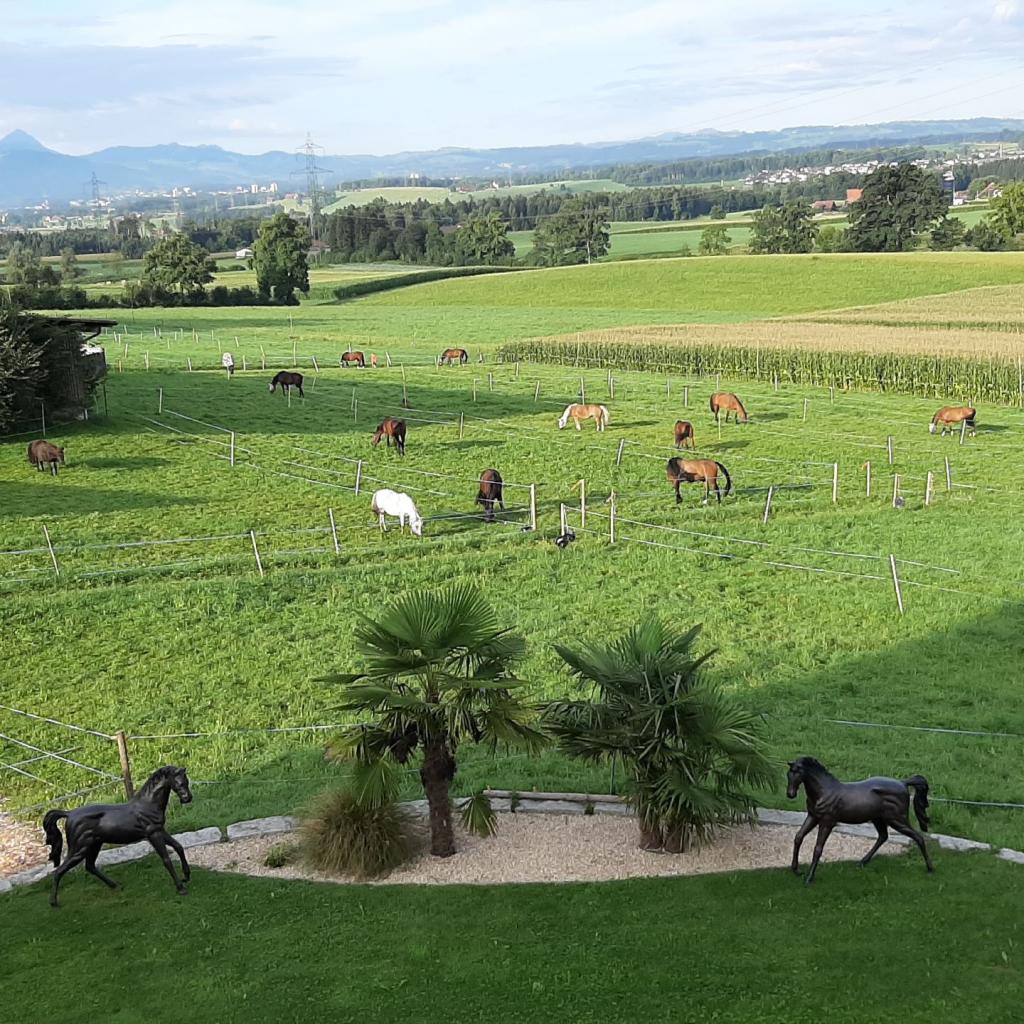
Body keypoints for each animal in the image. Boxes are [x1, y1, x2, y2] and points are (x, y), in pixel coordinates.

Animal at [42, 765, 193, 909]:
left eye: (187, 781)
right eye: (179, 783)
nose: (187, 798)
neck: (148, 805)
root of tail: (69, 814)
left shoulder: (160, 830)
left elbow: (178, 846)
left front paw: (186, 876)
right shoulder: (153, 834)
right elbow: (166, 859)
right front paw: (181, 888)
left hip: (94, 845)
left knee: (90, 866)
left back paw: (115, 885)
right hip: (80, 848)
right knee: (60, 871)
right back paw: (53, 903)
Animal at [786, 757, 933, 884]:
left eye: (798, 773)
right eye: (789, 774)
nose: (790, 794)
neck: (824, 792)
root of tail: (903, 783)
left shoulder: (827, 822)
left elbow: (818, 848)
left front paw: (809, 878)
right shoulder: (813, 817)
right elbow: (798, 837)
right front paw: (796, 870)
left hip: (897, 820)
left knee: (918, 837)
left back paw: (930, 869)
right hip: (878, 819)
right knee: (883, 836)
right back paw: (862, 862)